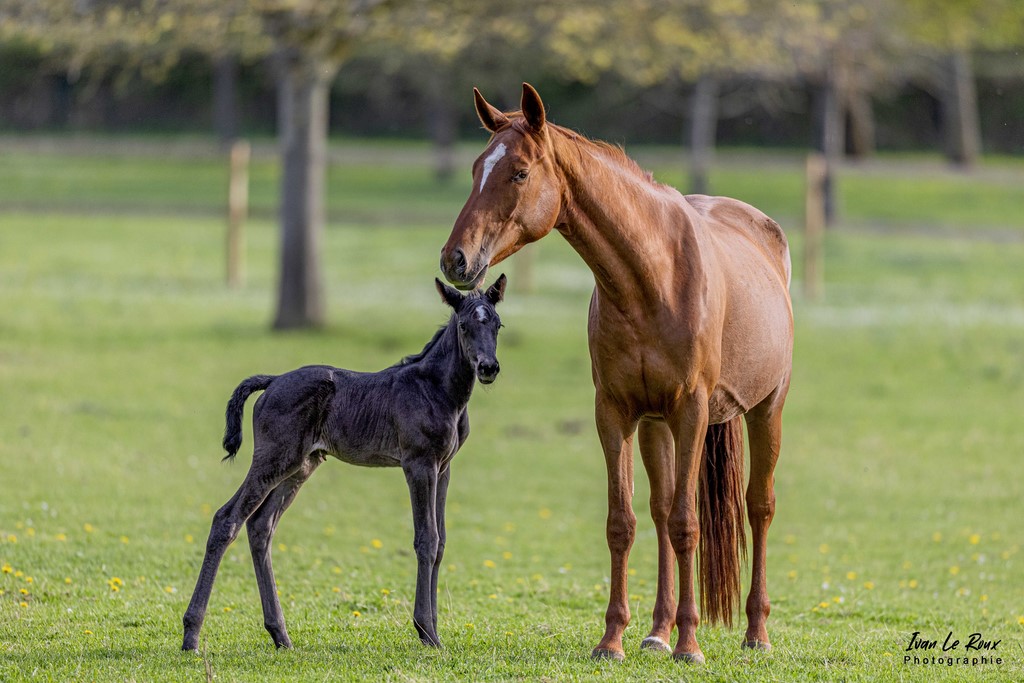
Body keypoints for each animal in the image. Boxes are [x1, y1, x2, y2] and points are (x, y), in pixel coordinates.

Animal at [438, 83, 790, 663]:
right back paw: (658, 631)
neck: (654, 276)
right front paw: (613, 639)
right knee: (659, 509)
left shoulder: (692, 410)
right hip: (655, 427)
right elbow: (623, 522)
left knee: (757, 508)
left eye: (519, 172)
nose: (455, 260)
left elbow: (688, 522)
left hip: (766, 409)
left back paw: (754, 633)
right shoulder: (616, 412)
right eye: (473, 169)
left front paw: (691, 645)